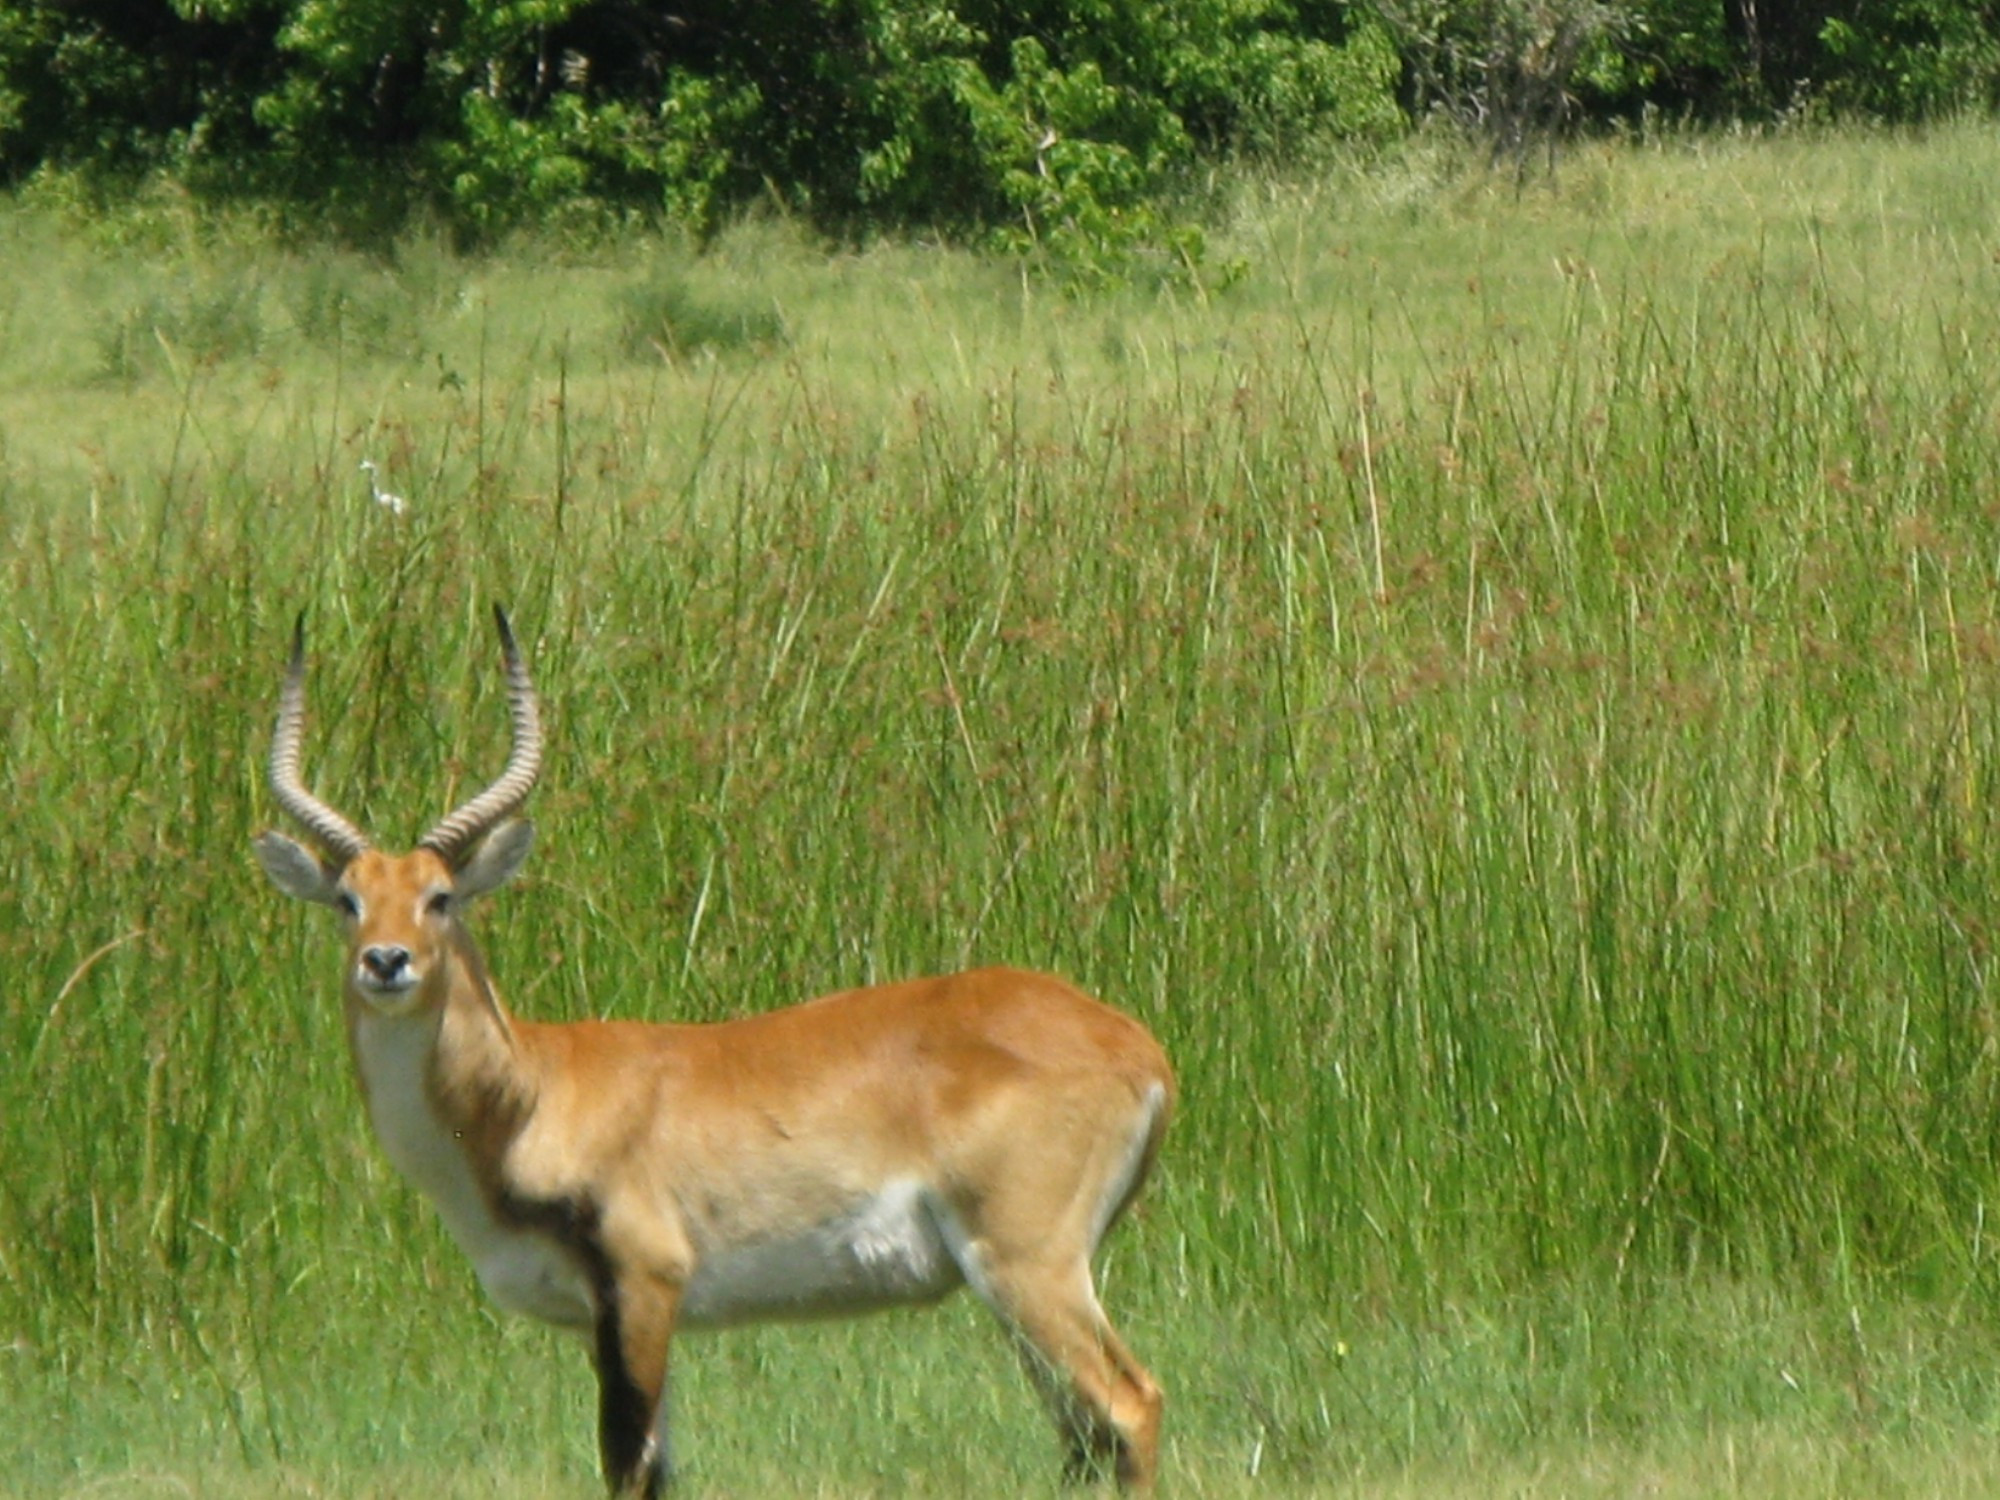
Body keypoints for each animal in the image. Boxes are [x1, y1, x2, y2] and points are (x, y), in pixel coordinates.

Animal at [250, 608, 1168, 1496]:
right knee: (1086, 1437)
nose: (386, 962)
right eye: (348, 899)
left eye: (440, 897)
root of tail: (1138, 1047)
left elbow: (627, 1464)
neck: (531, 1096)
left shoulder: (645, 1286)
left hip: (1026, 1264)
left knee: (1131, 1403)